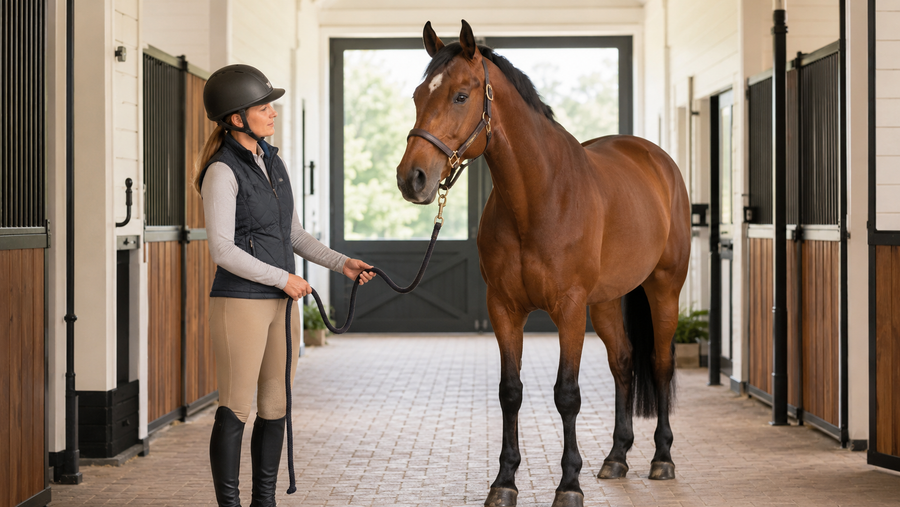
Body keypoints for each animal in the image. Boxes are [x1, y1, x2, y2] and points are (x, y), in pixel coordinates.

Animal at [396, 20, 691, 507]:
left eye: (461, 95)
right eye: (420, 95)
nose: (411, 178)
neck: (539, 197)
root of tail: (657, 160)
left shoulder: (568, 309)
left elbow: (567, 394)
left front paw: (569, 484)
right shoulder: (504, 309)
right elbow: (510, 392)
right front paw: (504, 481)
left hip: (664, 287)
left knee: (661, 363)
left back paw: (662, 459)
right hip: (605, 302)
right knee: (624, 362)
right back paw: (616, 457)